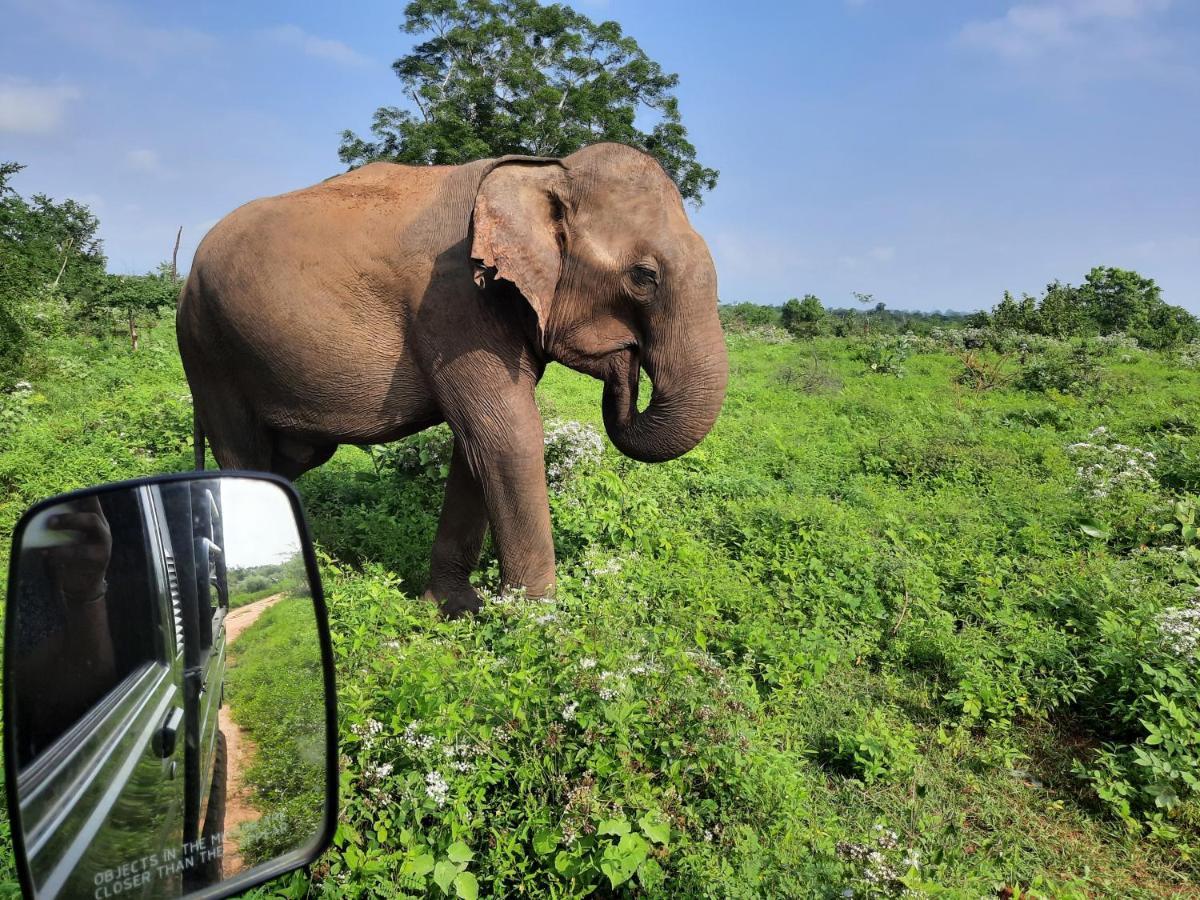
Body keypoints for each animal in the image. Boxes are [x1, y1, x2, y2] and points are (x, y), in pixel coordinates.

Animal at [174, 144, 724, 619]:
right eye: (643, 277)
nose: (625, 360)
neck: (545, 170)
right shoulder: (453, 303)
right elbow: (508, 436)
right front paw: (535, 622)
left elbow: (476, 448)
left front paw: (454, 610)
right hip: (208, 349)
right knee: (242, 452)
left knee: (291, 459)